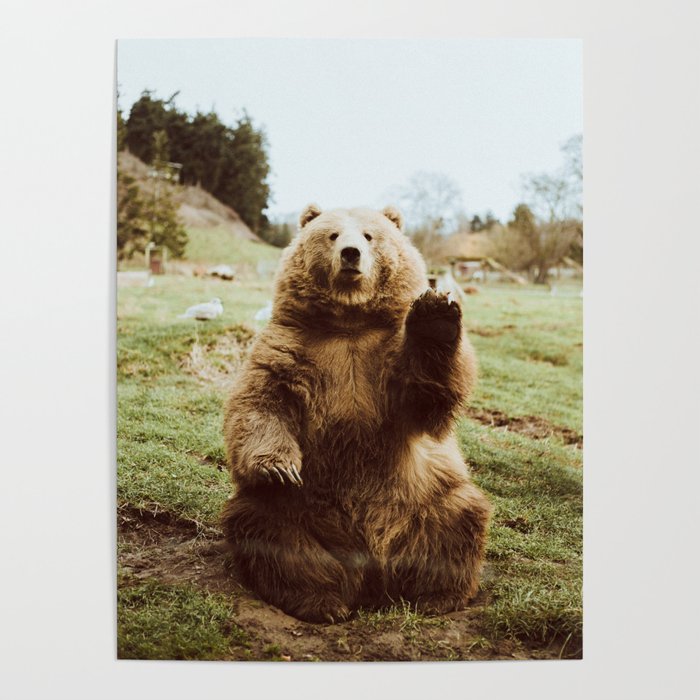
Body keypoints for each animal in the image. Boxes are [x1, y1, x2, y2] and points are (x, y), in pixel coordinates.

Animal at [222, 203, 491, 623]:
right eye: (332, 235)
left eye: (369, 235)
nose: (351, 254)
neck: (349, 323)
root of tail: (372, 573)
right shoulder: (290, 348)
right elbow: (261, 403)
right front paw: (279, 467)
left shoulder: (383, 360)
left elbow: (426, 396)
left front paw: (435, 314)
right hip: (299, 511)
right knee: (266, 529)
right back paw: (323, 601)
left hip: (425, 497)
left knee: (459, 518)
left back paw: (435, 596)